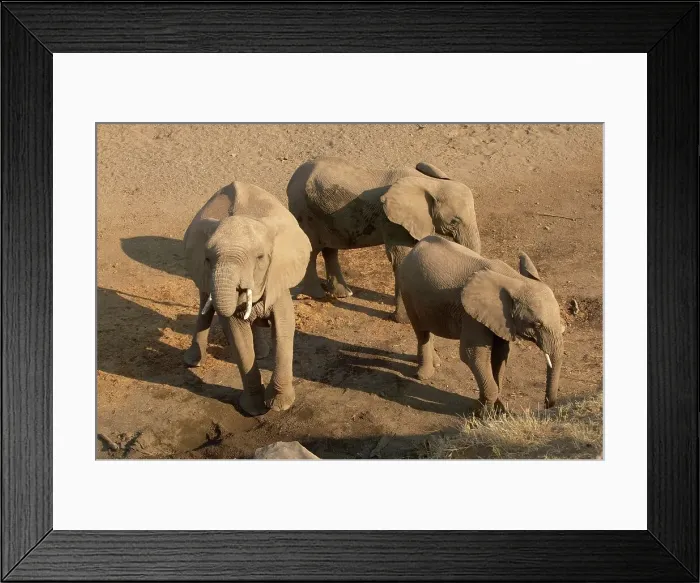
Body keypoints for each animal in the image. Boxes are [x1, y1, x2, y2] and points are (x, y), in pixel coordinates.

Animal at [183, 182, 311, 416]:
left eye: (260, 257)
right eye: (208, 258)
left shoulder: (277, 274)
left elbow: (284, 326)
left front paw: (279, 405)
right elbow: (238, 335)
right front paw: (253, 409)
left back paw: (261, 353)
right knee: (205, 307)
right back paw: (193, 362)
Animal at [287, 156, 481, 322]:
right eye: (454, 221)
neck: (430, 184)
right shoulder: (392, 220)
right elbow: (401, 258)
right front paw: (404, 321)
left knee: (330, 249)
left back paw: (344, 294)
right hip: (304, 212)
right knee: (312, 250)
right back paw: (316, 295)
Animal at [398, 235, 564, 411]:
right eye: (536, 324)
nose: (547, 405)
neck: (514, 280)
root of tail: (418, 246)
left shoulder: (501, 318)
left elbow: (500, 353)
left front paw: (498, 408)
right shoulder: (471, 314)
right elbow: (473, 354)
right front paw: (480, 410)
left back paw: (436, 363)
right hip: (407, 291)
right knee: (422, 332)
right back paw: (424, 374)